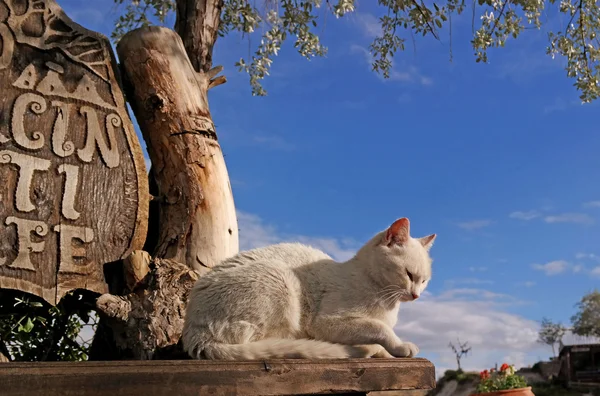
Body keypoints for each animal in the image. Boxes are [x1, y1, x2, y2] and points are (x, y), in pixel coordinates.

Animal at [182, 218, 436, 360]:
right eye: (409, 275)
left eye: (424, 281)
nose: (416, 295)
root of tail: (193, 333)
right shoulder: (328, 323)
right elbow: (379, 329)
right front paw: (399, 346)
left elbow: (379, 333)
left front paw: (383, 351)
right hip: (280, 280)